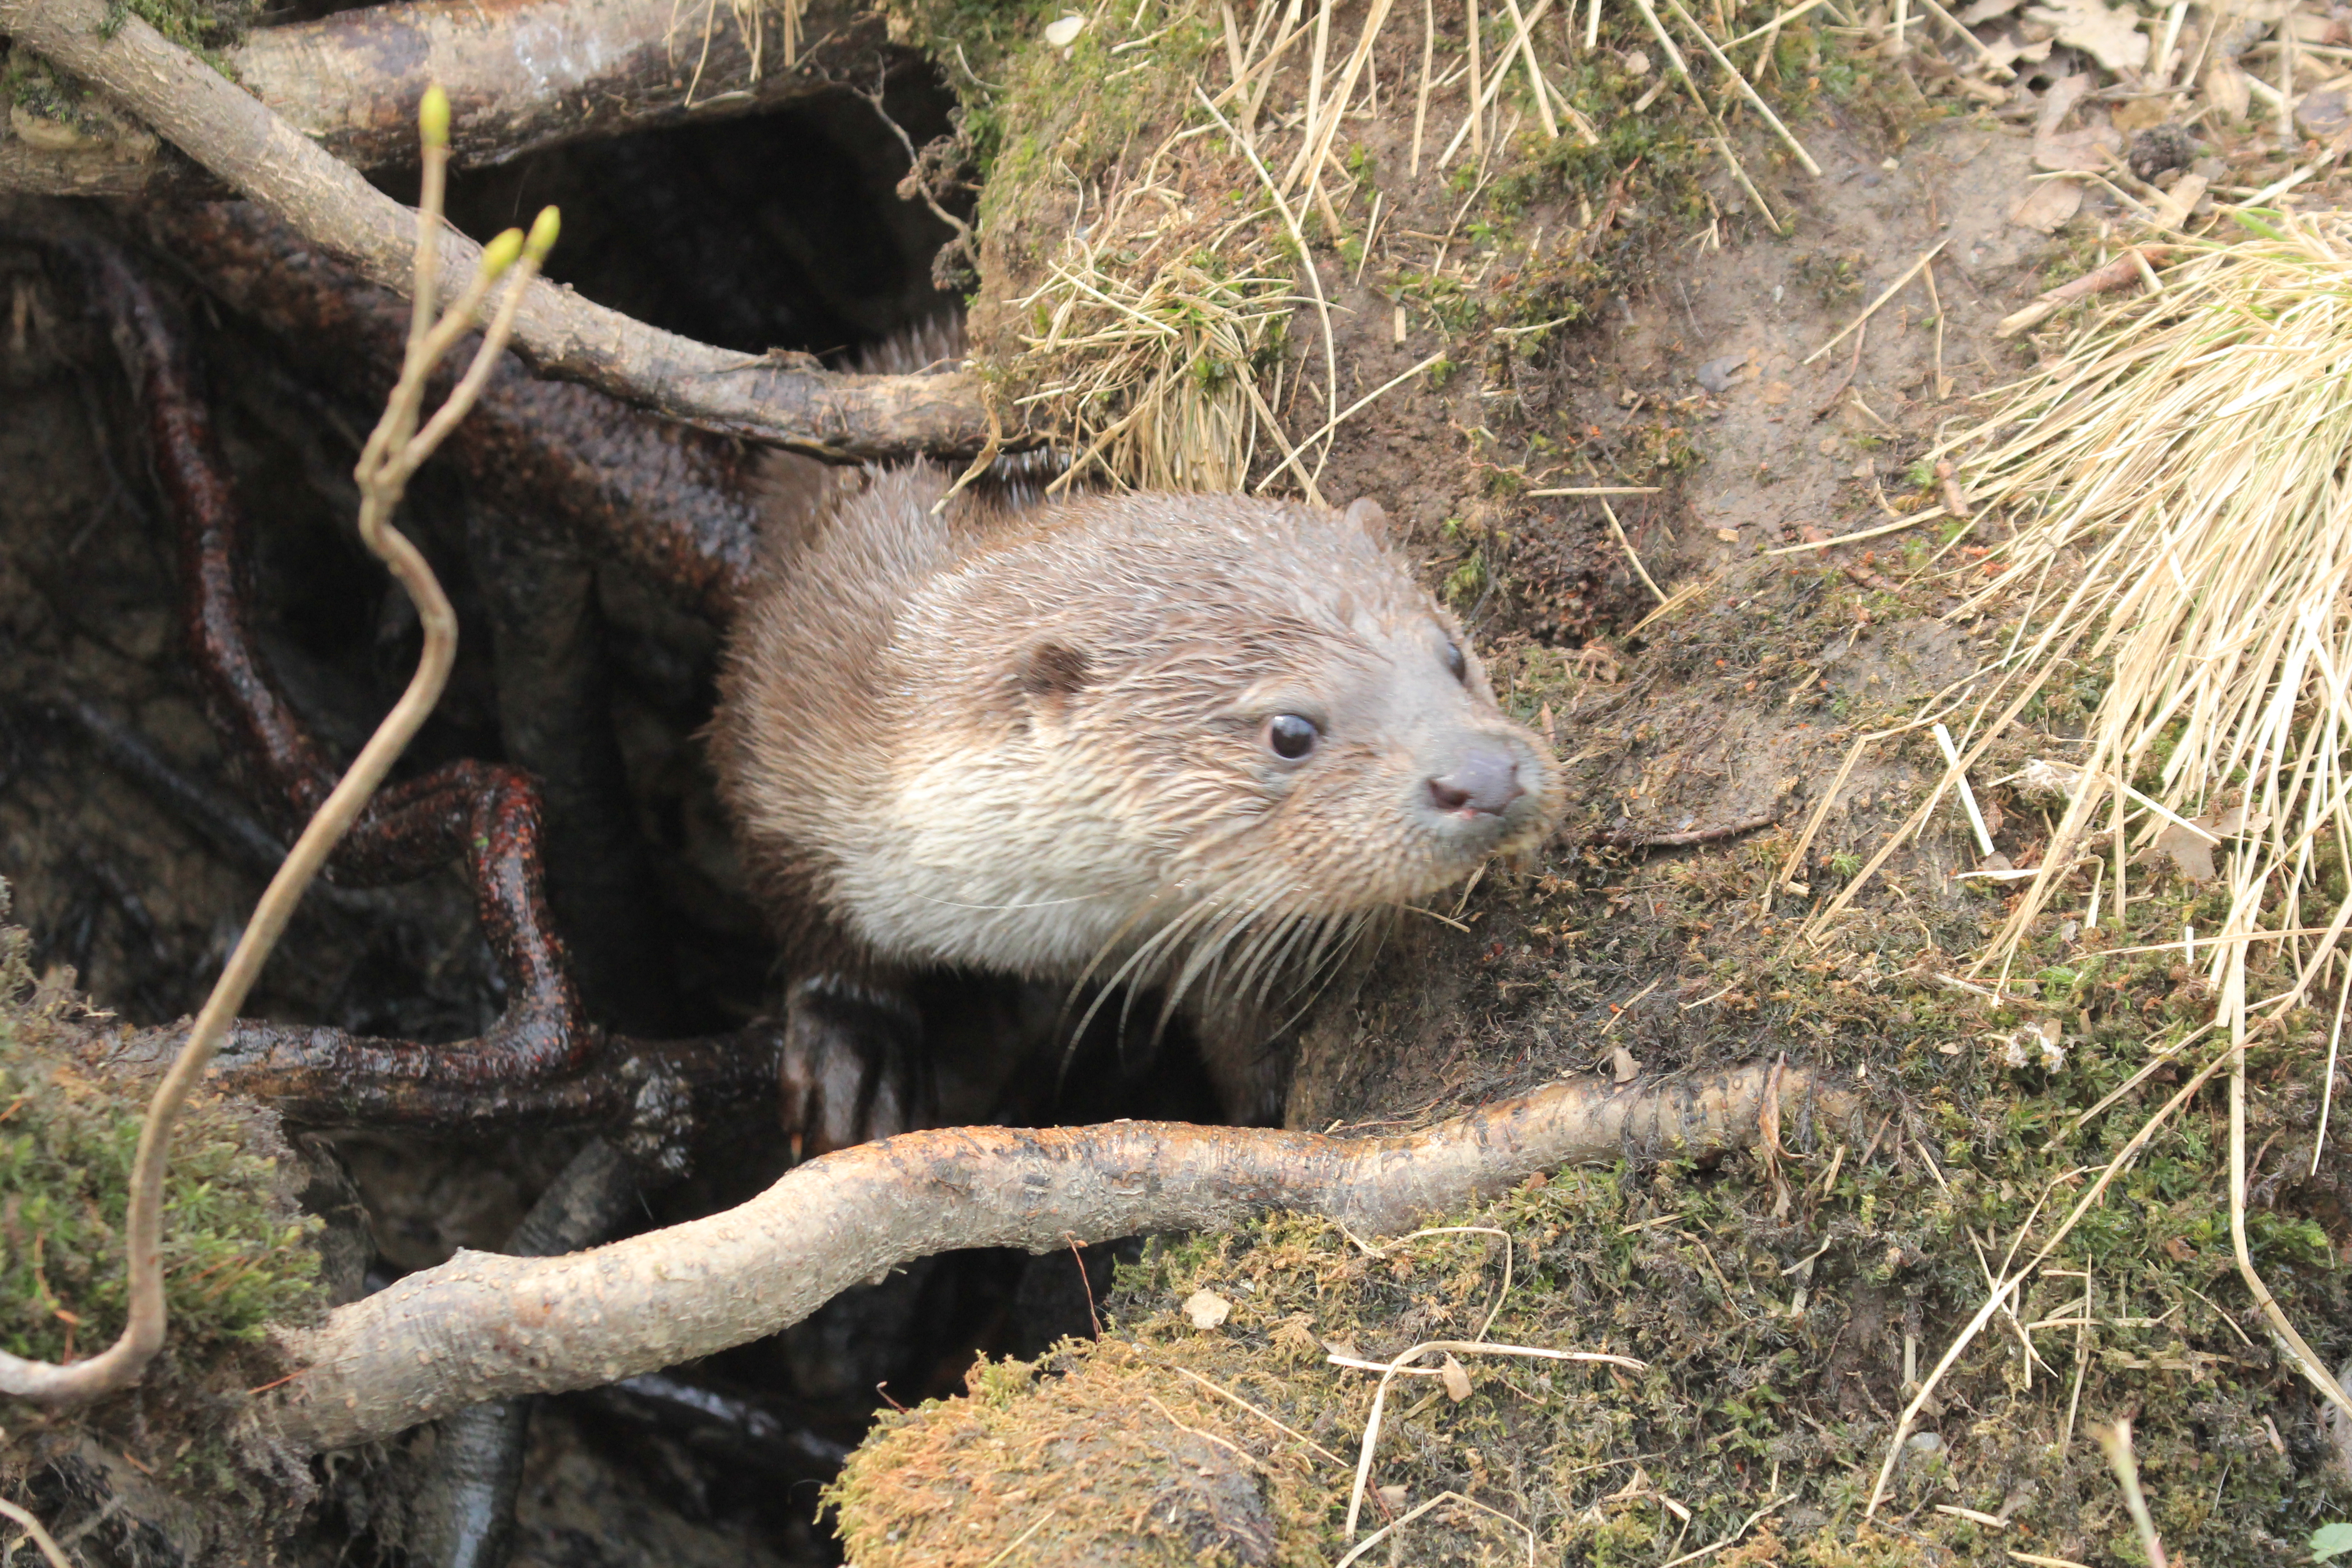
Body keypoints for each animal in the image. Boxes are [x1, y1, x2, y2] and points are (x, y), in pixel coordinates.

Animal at [711, 462, 1560, 1127]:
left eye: (1452, 655)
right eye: (1289, 731)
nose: (1484, 775)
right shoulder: (785, 722)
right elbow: (801, 903)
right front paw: (856, 1043)